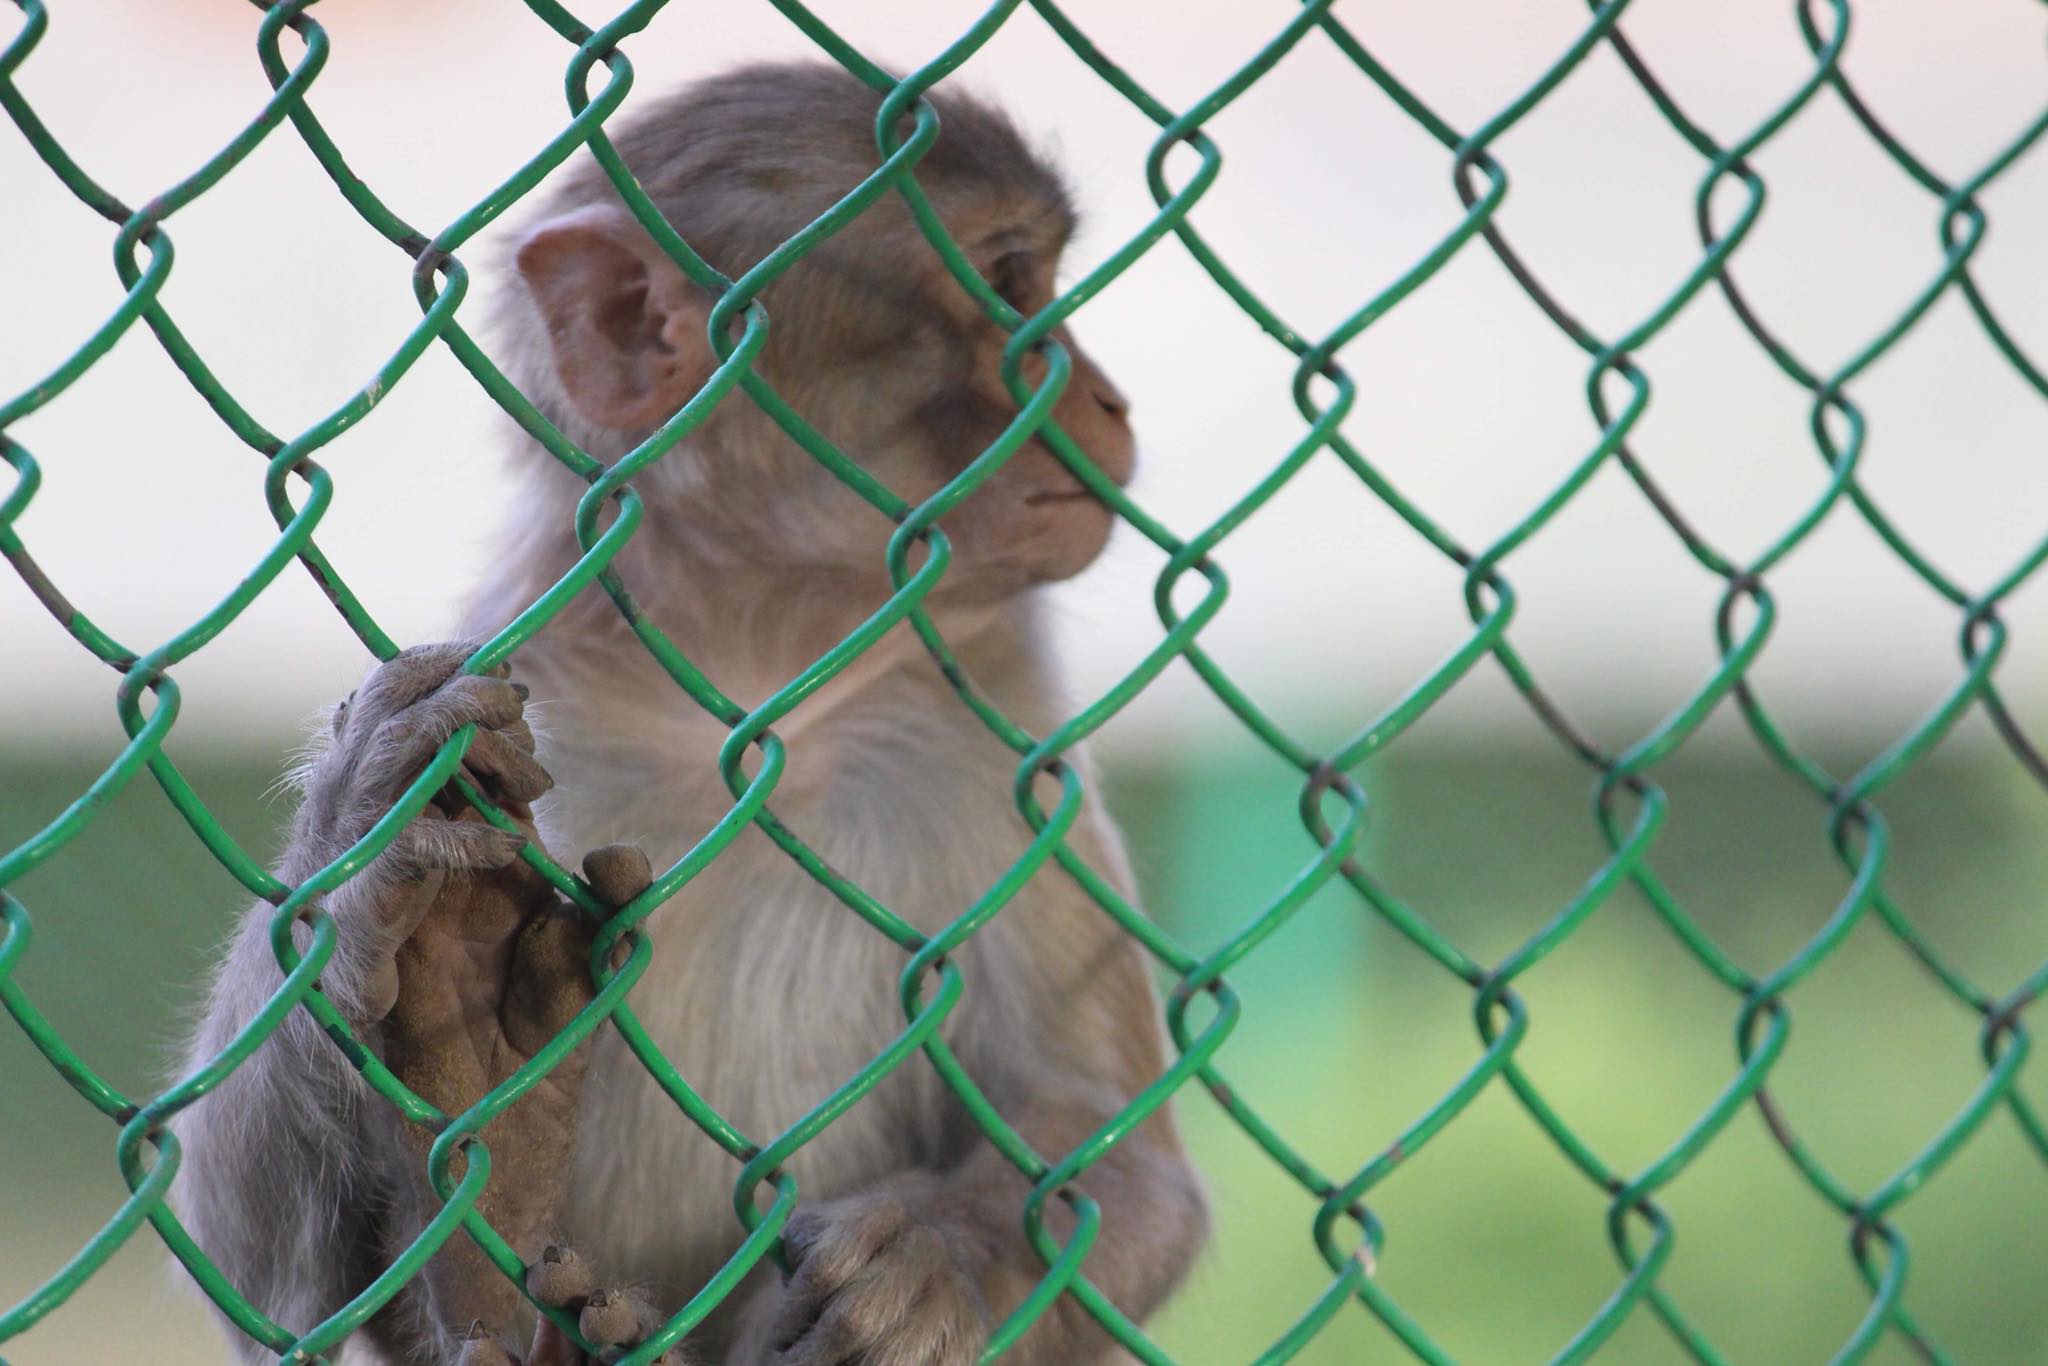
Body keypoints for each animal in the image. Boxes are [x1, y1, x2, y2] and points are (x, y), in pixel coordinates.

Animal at [174, 62, 1207, 1366]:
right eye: (1009, 281)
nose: (1102, 394)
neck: (754, 666)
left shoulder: (1003, 739)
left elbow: (1120, 1167)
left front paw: (935, 1265)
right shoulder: (523, 659)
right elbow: (248, 1263)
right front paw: (364, 830)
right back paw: (486, 1174)